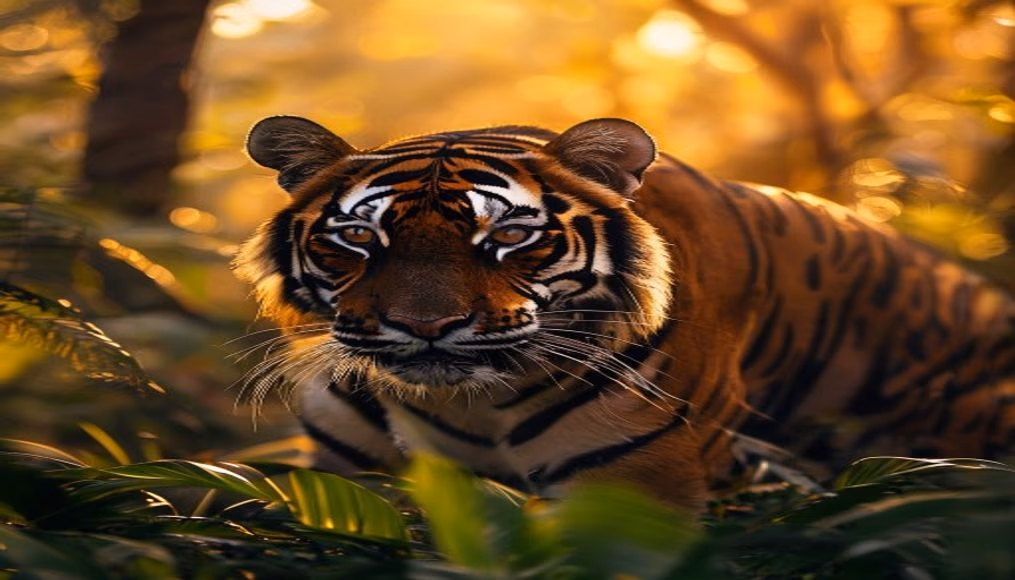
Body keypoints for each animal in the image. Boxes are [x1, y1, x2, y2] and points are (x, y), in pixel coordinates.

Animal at [235, 115, 1015, 510]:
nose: (426, 327)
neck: (465, 404)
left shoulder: (632, 488)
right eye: (357, 238)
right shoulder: (343, 476)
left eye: (509, 236)